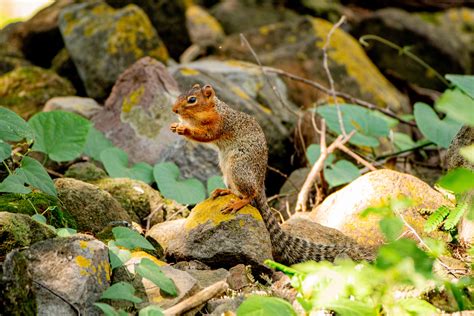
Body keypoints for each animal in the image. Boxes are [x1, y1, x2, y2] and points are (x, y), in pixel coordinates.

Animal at [169, 84, 374, 264]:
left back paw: (237, 203)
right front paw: (176, 126)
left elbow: (206, 135)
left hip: (238, 169)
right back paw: (224, 191)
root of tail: (261, 184)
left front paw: (183, 128)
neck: (213, 109)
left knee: (249, 194)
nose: (174, 110)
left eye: (192, 100)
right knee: (239, 191)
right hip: (227, 171)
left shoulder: (219, 124)